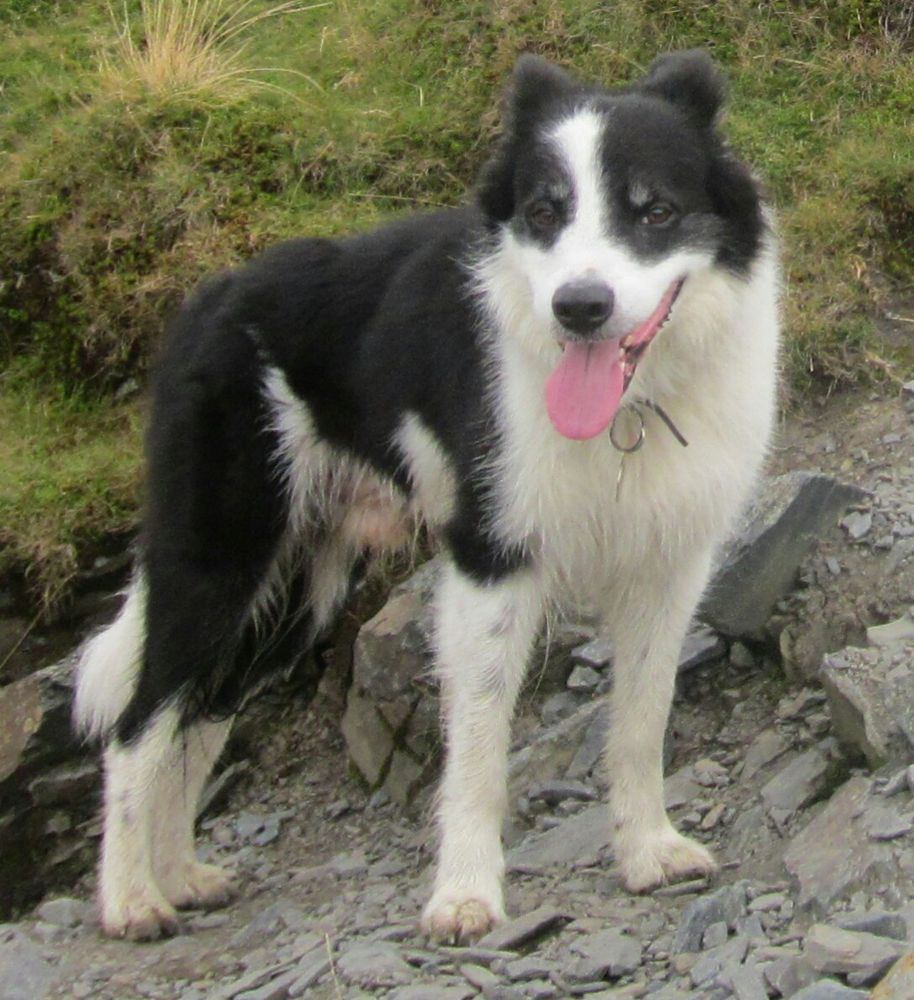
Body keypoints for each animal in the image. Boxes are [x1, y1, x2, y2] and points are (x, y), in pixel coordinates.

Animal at [75, 52, 780, 944]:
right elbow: (477, 747)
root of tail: (208, 299)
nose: (579, 308)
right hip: (217, 562)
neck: (629, 410)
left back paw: (182, 876)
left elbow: (641, 721)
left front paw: (648, 851)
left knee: (200, 717)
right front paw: (465, 898)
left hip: (296, 596)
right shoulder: (490, 564)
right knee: (137, 725)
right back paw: (130, 899)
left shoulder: (668, 567)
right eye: (545, 212)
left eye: (654, 210)